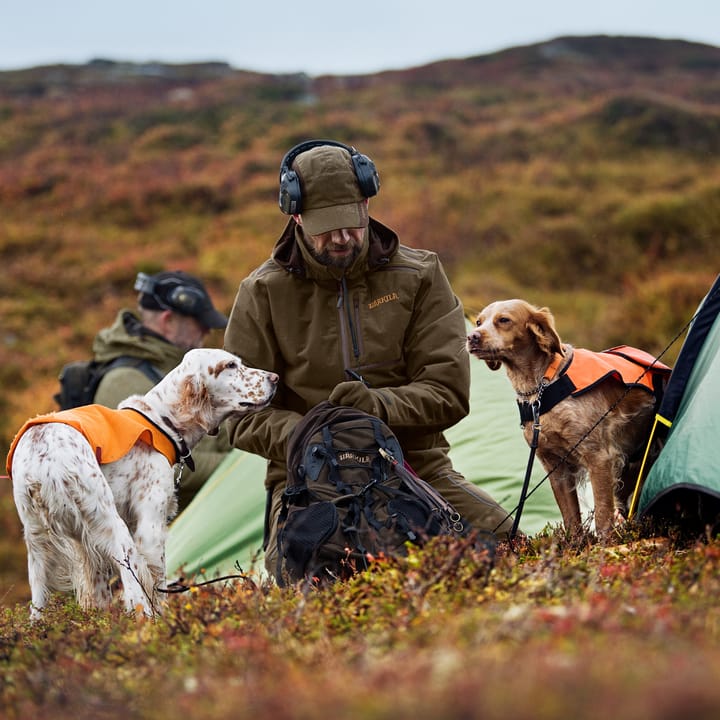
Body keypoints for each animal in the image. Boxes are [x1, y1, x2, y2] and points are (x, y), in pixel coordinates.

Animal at [8, 348, 278, 620]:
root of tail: (41, 452)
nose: (275, 378)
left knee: (38, 602)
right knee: (134, 591)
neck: (163, 420)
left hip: (38, 543)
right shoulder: (150, 527)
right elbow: (157, 586)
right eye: (230, 365)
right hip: (113, 526)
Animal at [470, 300, 668, 540]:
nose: (472, 337)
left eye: (504, 320)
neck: (540, 389)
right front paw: (575, 544)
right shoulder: (555, 467)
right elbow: (571, 518)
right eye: (478, 322)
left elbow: (602, 515)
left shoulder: (599, 457)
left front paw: (603, 546)